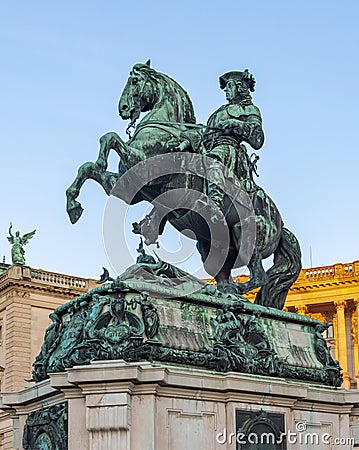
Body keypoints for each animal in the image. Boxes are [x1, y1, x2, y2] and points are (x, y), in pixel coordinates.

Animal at [66, 60, 302, 310]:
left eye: (135, 80)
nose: (123, 108)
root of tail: (281, 224)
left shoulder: (143, 168)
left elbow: (109, 138)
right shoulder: (128, 186)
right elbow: (89, 166)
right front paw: (73, 205)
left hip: (246, 232)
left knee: (259, 276)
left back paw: (236, 294)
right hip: (211, 245)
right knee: (224, 277)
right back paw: (221, 294)